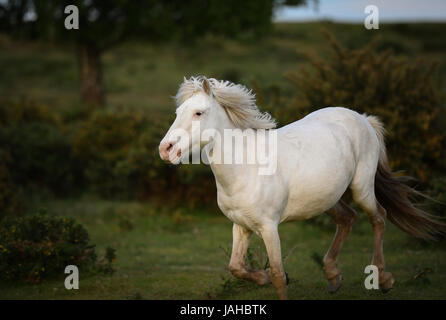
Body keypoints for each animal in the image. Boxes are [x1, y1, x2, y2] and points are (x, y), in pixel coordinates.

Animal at [159, 76, 444, 298]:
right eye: (177, 113)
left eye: (199, 112)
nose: (166, 149)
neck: (246, 168)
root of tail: (362, 119)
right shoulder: (241, 226)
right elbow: (236, 267)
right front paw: (263, 277)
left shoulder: (269, 227)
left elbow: (276, 273)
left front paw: (276, 277)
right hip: (327, 198)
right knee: (347, 218)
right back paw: (333, 277)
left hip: (361, 188)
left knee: (379, 218)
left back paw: (383, 279)